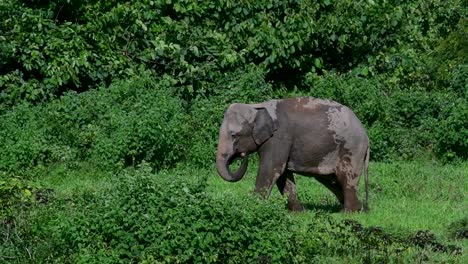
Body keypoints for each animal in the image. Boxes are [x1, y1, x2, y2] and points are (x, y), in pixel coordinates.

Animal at [215, 97, 370, 212]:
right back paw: (358, 209)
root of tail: (366, 135)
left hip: (352, 149)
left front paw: (253, 207)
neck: (257, 107)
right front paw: (299, 212)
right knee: (330, 179)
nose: (242, 155)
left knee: (345, 177)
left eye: (234, 135)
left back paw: (348, 212)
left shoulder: (279, 137)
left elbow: (272, 168)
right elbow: (283, 175)